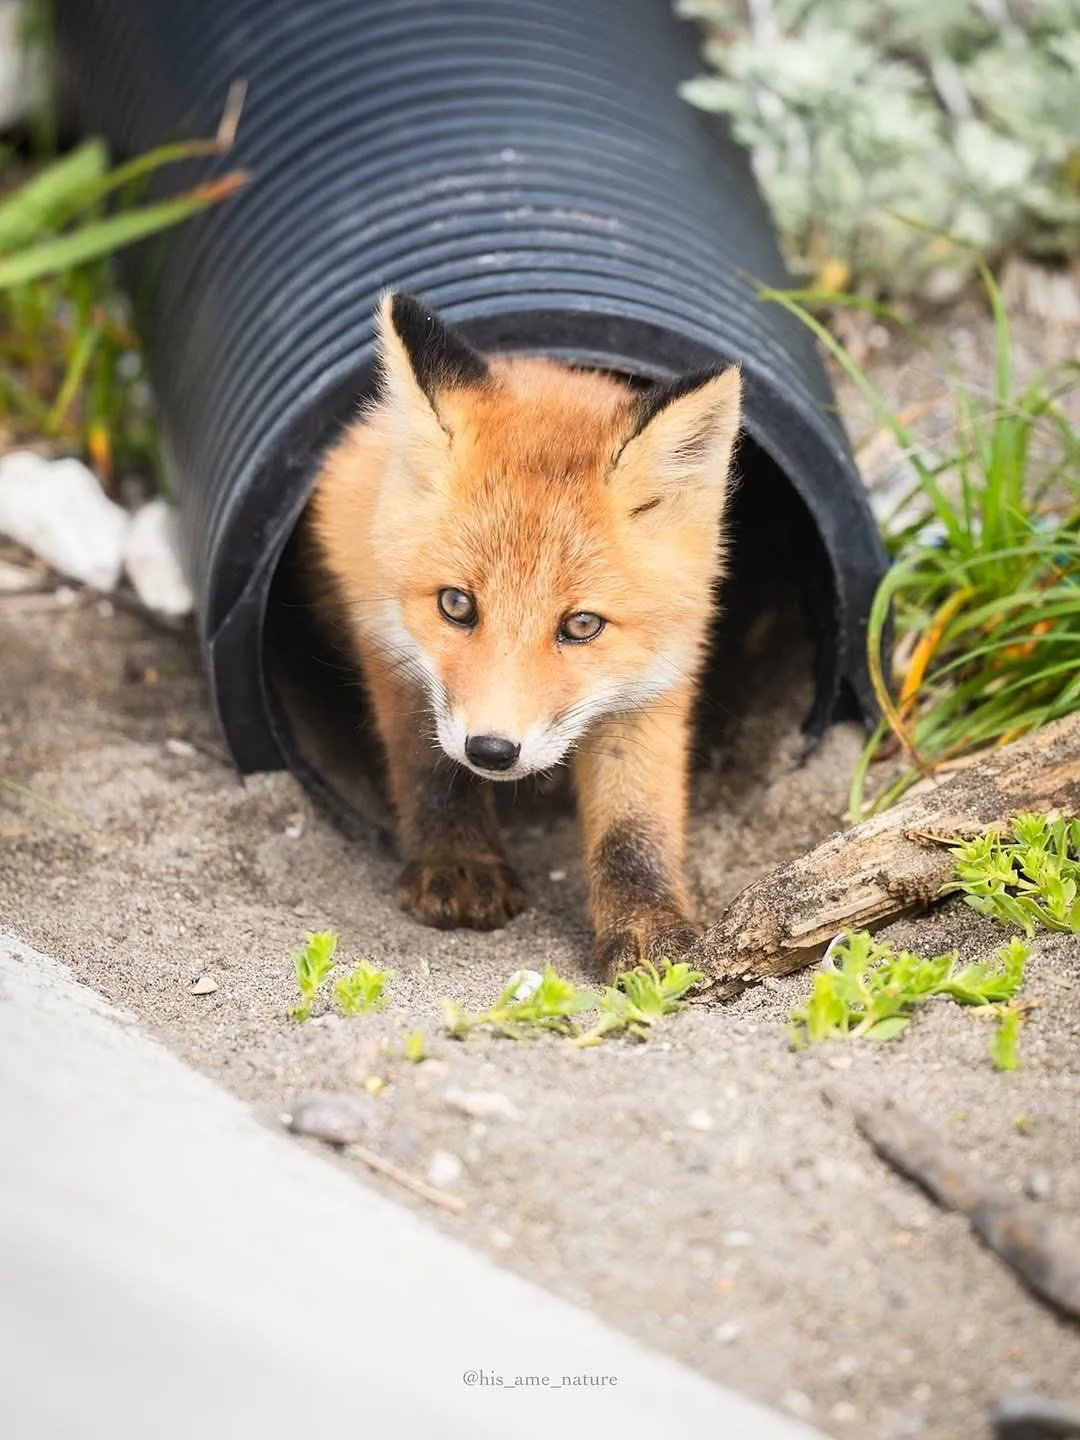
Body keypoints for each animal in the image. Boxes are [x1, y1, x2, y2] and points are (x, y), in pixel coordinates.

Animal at [307, 292, 741, 976]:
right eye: (456, 604)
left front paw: (647, 921)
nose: (491, 751)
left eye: (582, 625)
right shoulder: (384, 636)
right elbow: (427, 765)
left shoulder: (655, 684)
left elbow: (634, 821)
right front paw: (458, 858)